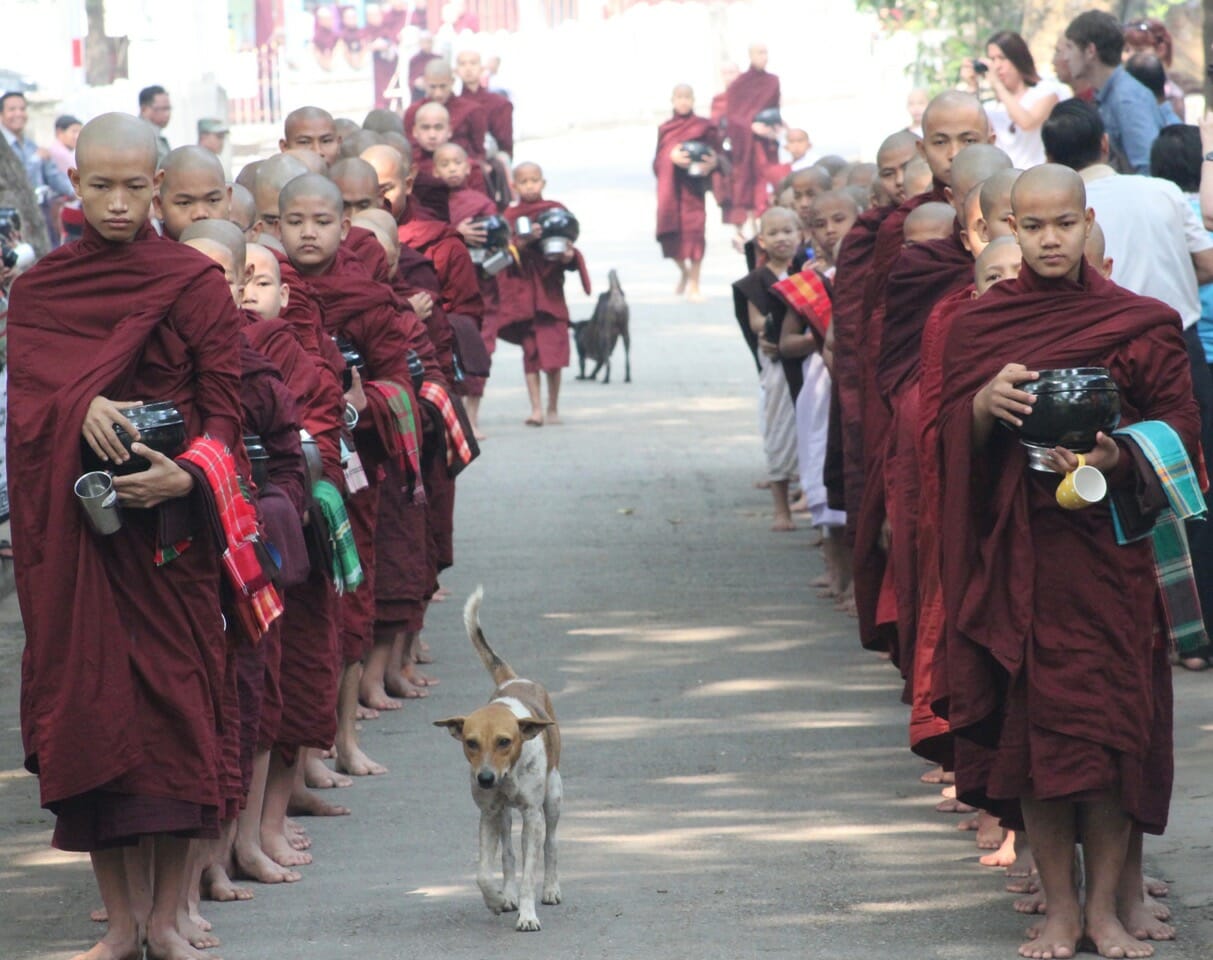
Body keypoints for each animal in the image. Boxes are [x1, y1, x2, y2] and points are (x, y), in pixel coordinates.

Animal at [436, 584, 562, 932]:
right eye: (471, 743)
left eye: (505, 742)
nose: (485, 778)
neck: (508, 774)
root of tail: (514, 679)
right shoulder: (489, 814)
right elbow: (483, 872)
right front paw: (496, 899)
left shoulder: (532, 816)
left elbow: (531, 869)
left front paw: (528, 914)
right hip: (504, 816)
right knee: (507, 853)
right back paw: (507, 893)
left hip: (553, 797)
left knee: (550, 844)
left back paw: (551, 888)